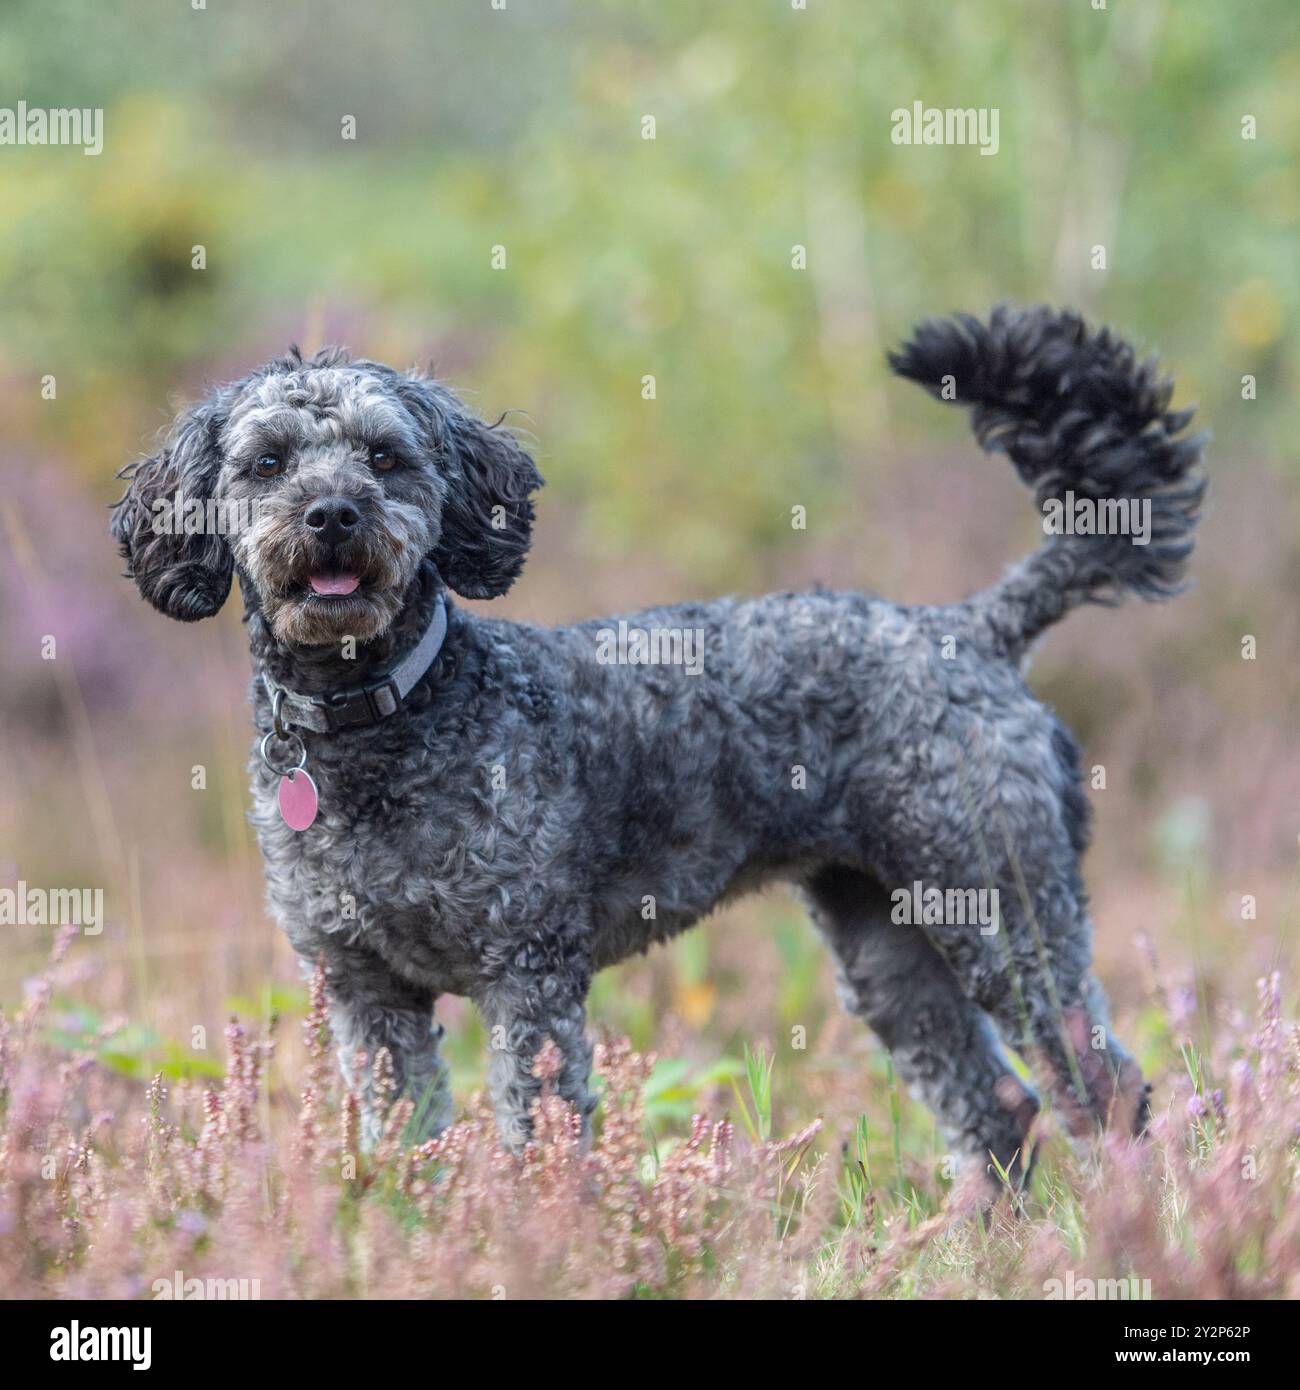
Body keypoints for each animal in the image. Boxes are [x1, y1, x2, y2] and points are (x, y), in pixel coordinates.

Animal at [114, 307, 1212, 1184]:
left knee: (1103, 1087)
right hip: (887, 939)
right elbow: (405, 1135)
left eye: (386, 455)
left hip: (1003, 911)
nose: (333, 514)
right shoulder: (364, 989)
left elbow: (539, 1131)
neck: (385, 724)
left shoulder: (529, 973)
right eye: (265, 462)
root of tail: (972, 624)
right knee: (994, 1105)